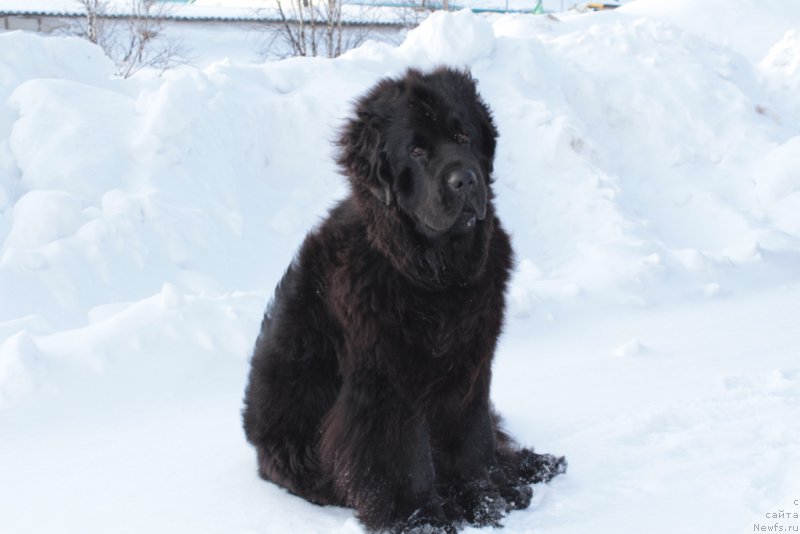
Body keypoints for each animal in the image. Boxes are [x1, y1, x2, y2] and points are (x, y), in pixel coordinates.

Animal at [242, 68, 564, 534]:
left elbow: (475, 439)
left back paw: (530, 466)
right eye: (416, 150)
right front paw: (423, 518)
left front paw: (486, 498)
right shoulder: (388, 384)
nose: (465, 179)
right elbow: (406, 459)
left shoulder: (471, 367)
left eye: (463, 135)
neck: (438, 275)